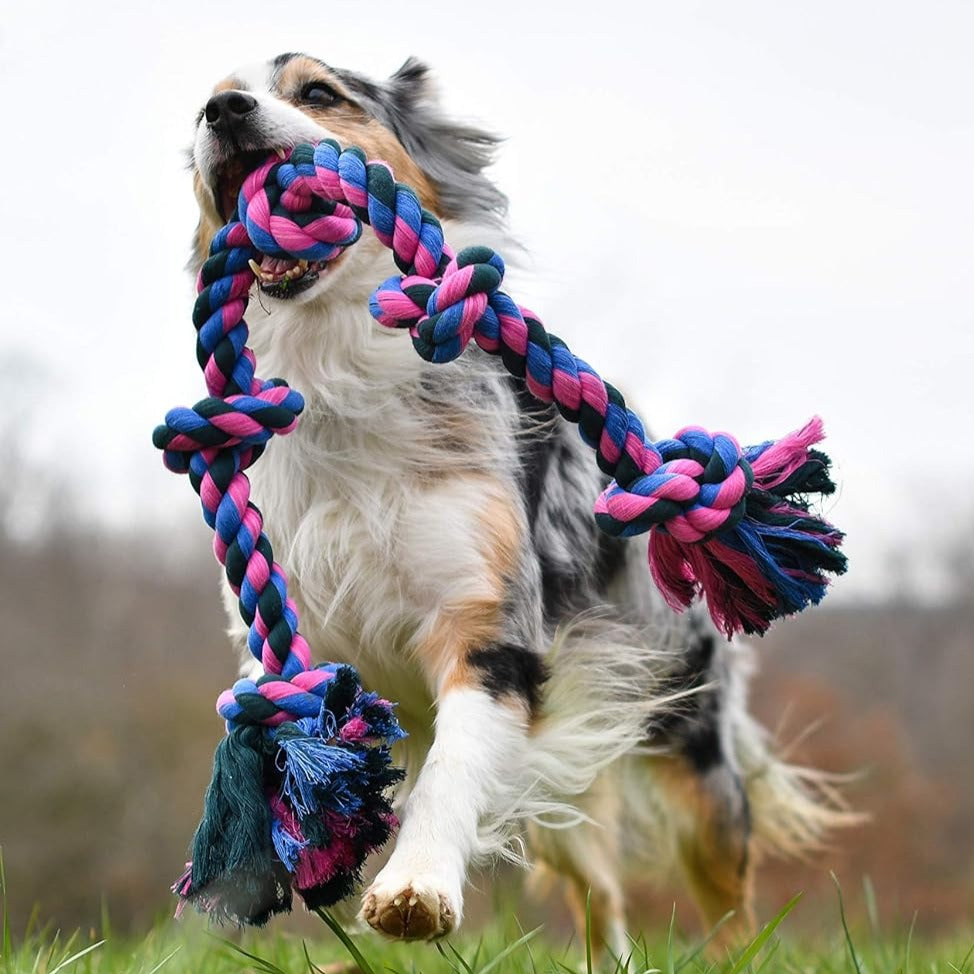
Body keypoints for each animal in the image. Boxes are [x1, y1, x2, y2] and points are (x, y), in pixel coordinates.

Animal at [187, 49, 852, 956]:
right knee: (599, 895)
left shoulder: (491, 630)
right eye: (204, 106)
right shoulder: (286, 634)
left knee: (726, 899)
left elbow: (449, 771)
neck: (338, 371)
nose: (224, 113)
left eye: (319, 93)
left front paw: (416, 888)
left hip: (689, 746)